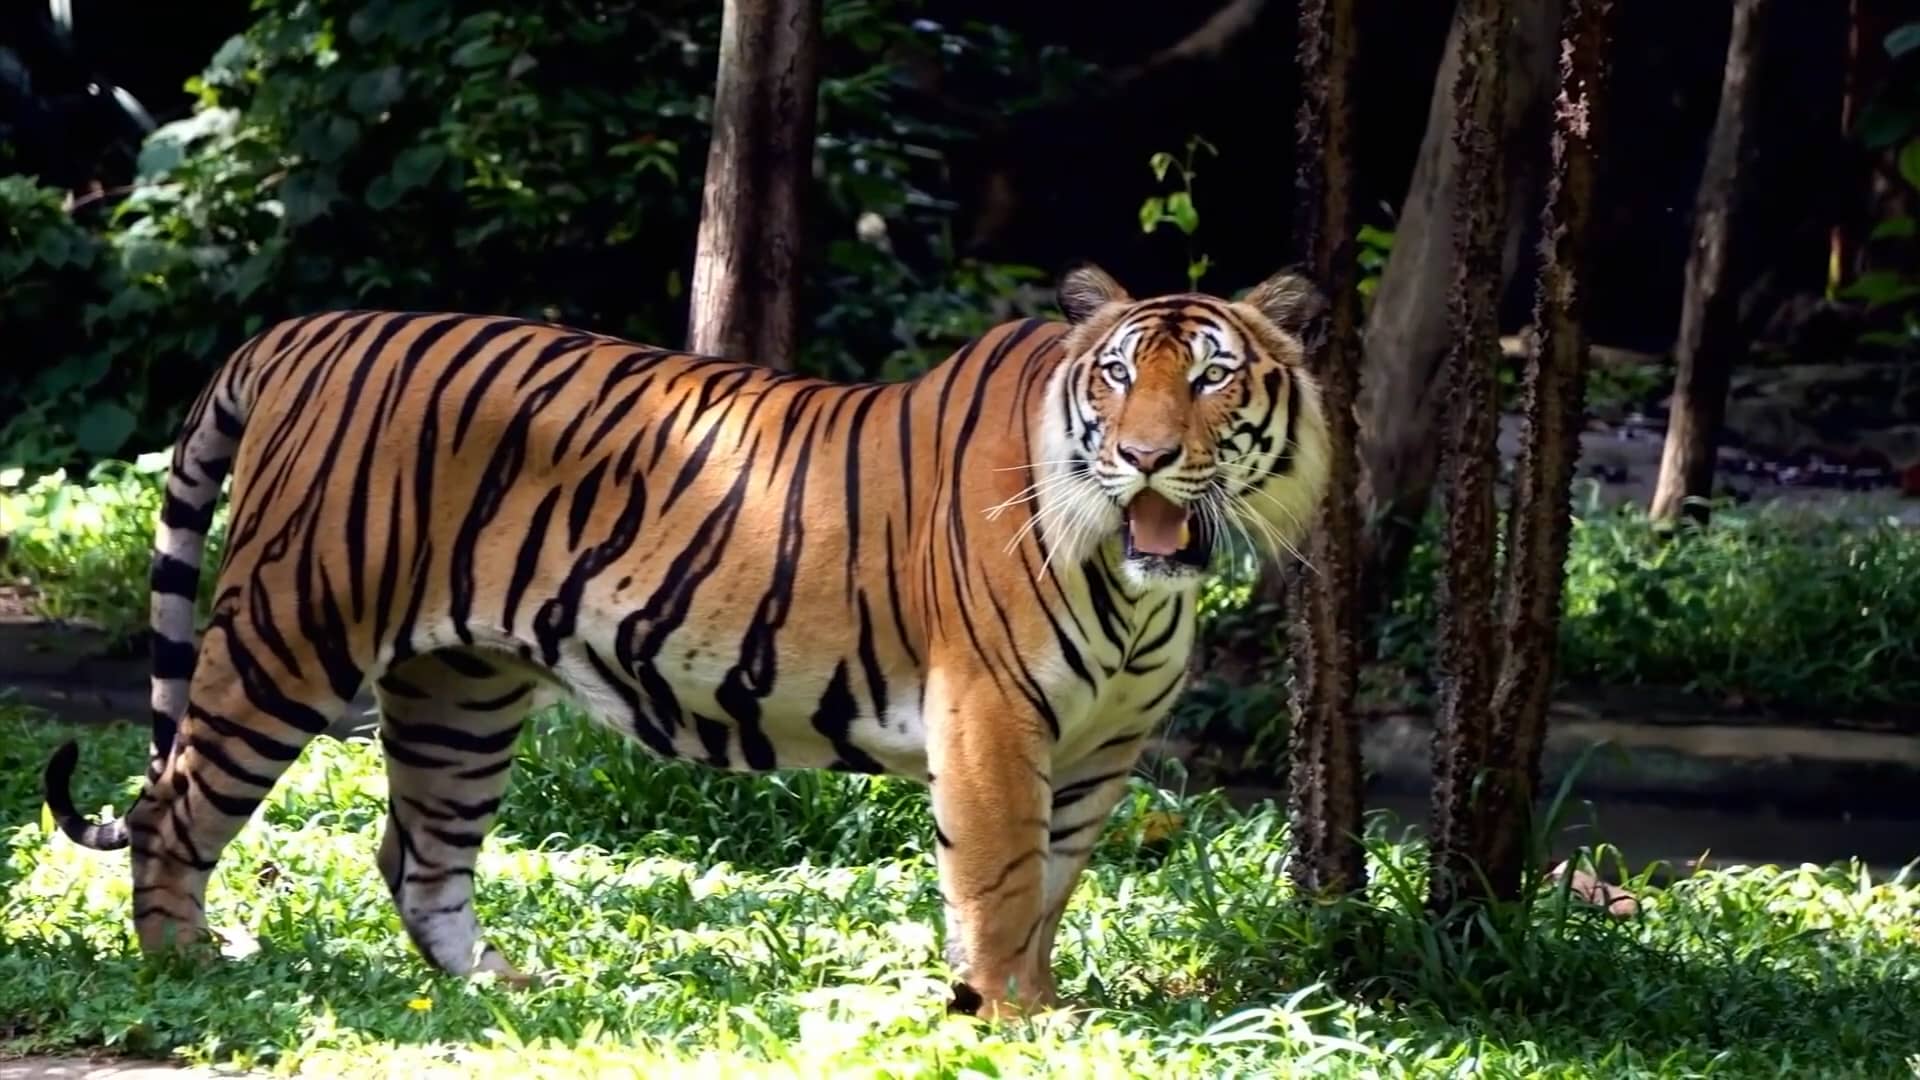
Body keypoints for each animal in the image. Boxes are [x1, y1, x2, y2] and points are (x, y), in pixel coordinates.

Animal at [42, 262, 1330, 1020]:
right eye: (1115, 380)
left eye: (1211, 380)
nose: (1147, 457)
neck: (1139, 580)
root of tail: (304, 329)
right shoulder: (992, 718)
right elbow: (1004, 880)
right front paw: (1009, 1022)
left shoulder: (1100, 748)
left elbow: (1054, 886)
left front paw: (1037, 1007)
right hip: (291, 630)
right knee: (170, 807)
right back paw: (185, 966)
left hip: (461, 689)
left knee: (416, 855)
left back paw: (499, 992)